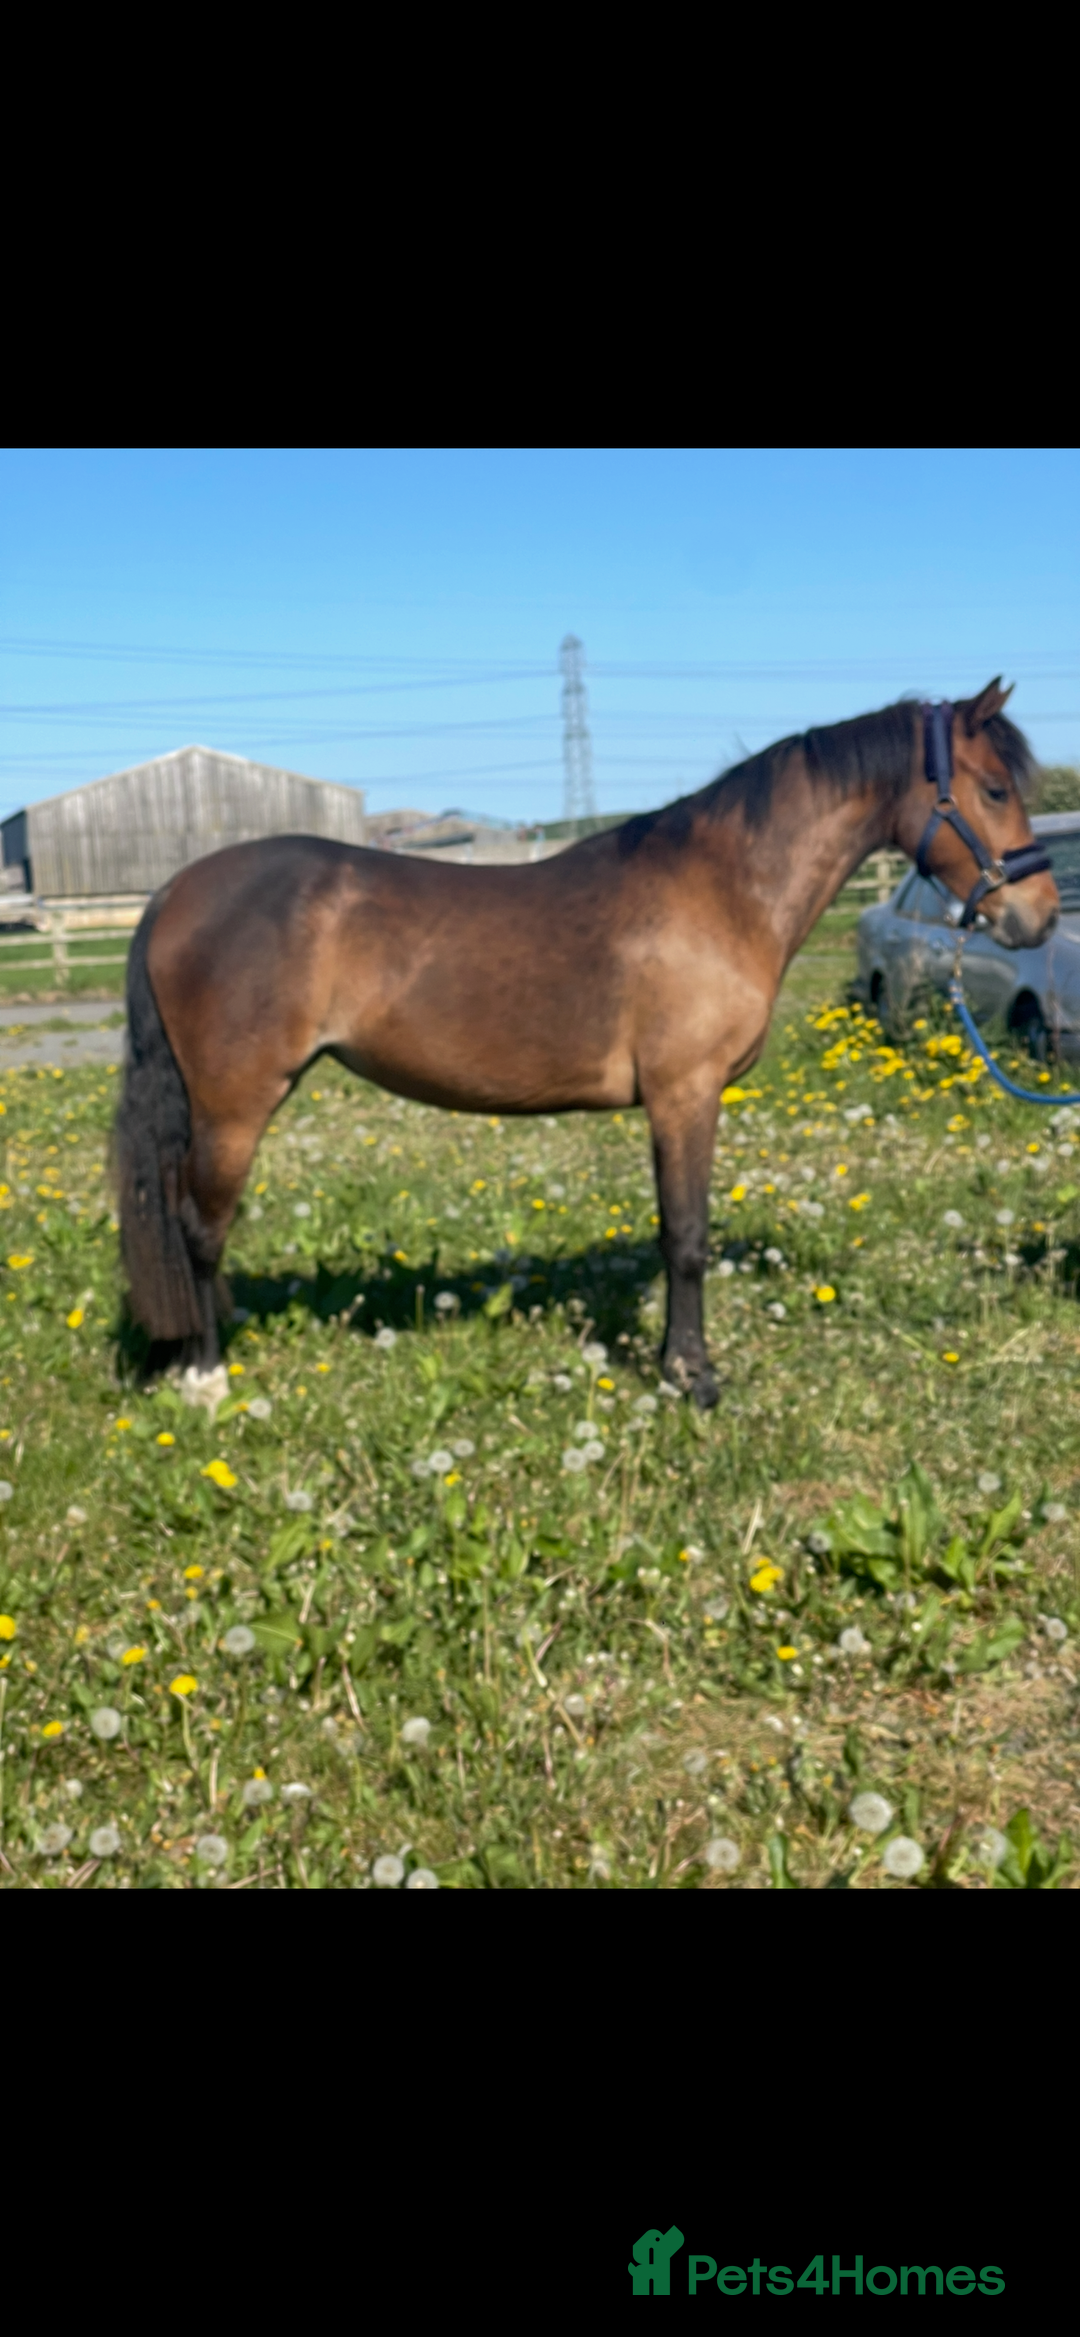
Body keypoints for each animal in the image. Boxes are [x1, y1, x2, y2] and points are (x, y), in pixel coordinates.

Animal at [115, 678, 1058, 1408]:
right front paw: (691, 1377)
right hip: (236, 1103)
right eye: (994, 789)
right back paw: (205, 1375)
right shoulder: (685, 1093)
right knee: (199, 1223)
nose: (1040, 917)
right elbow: (686, 1237)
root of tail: (172, 892)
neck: (726, 888)